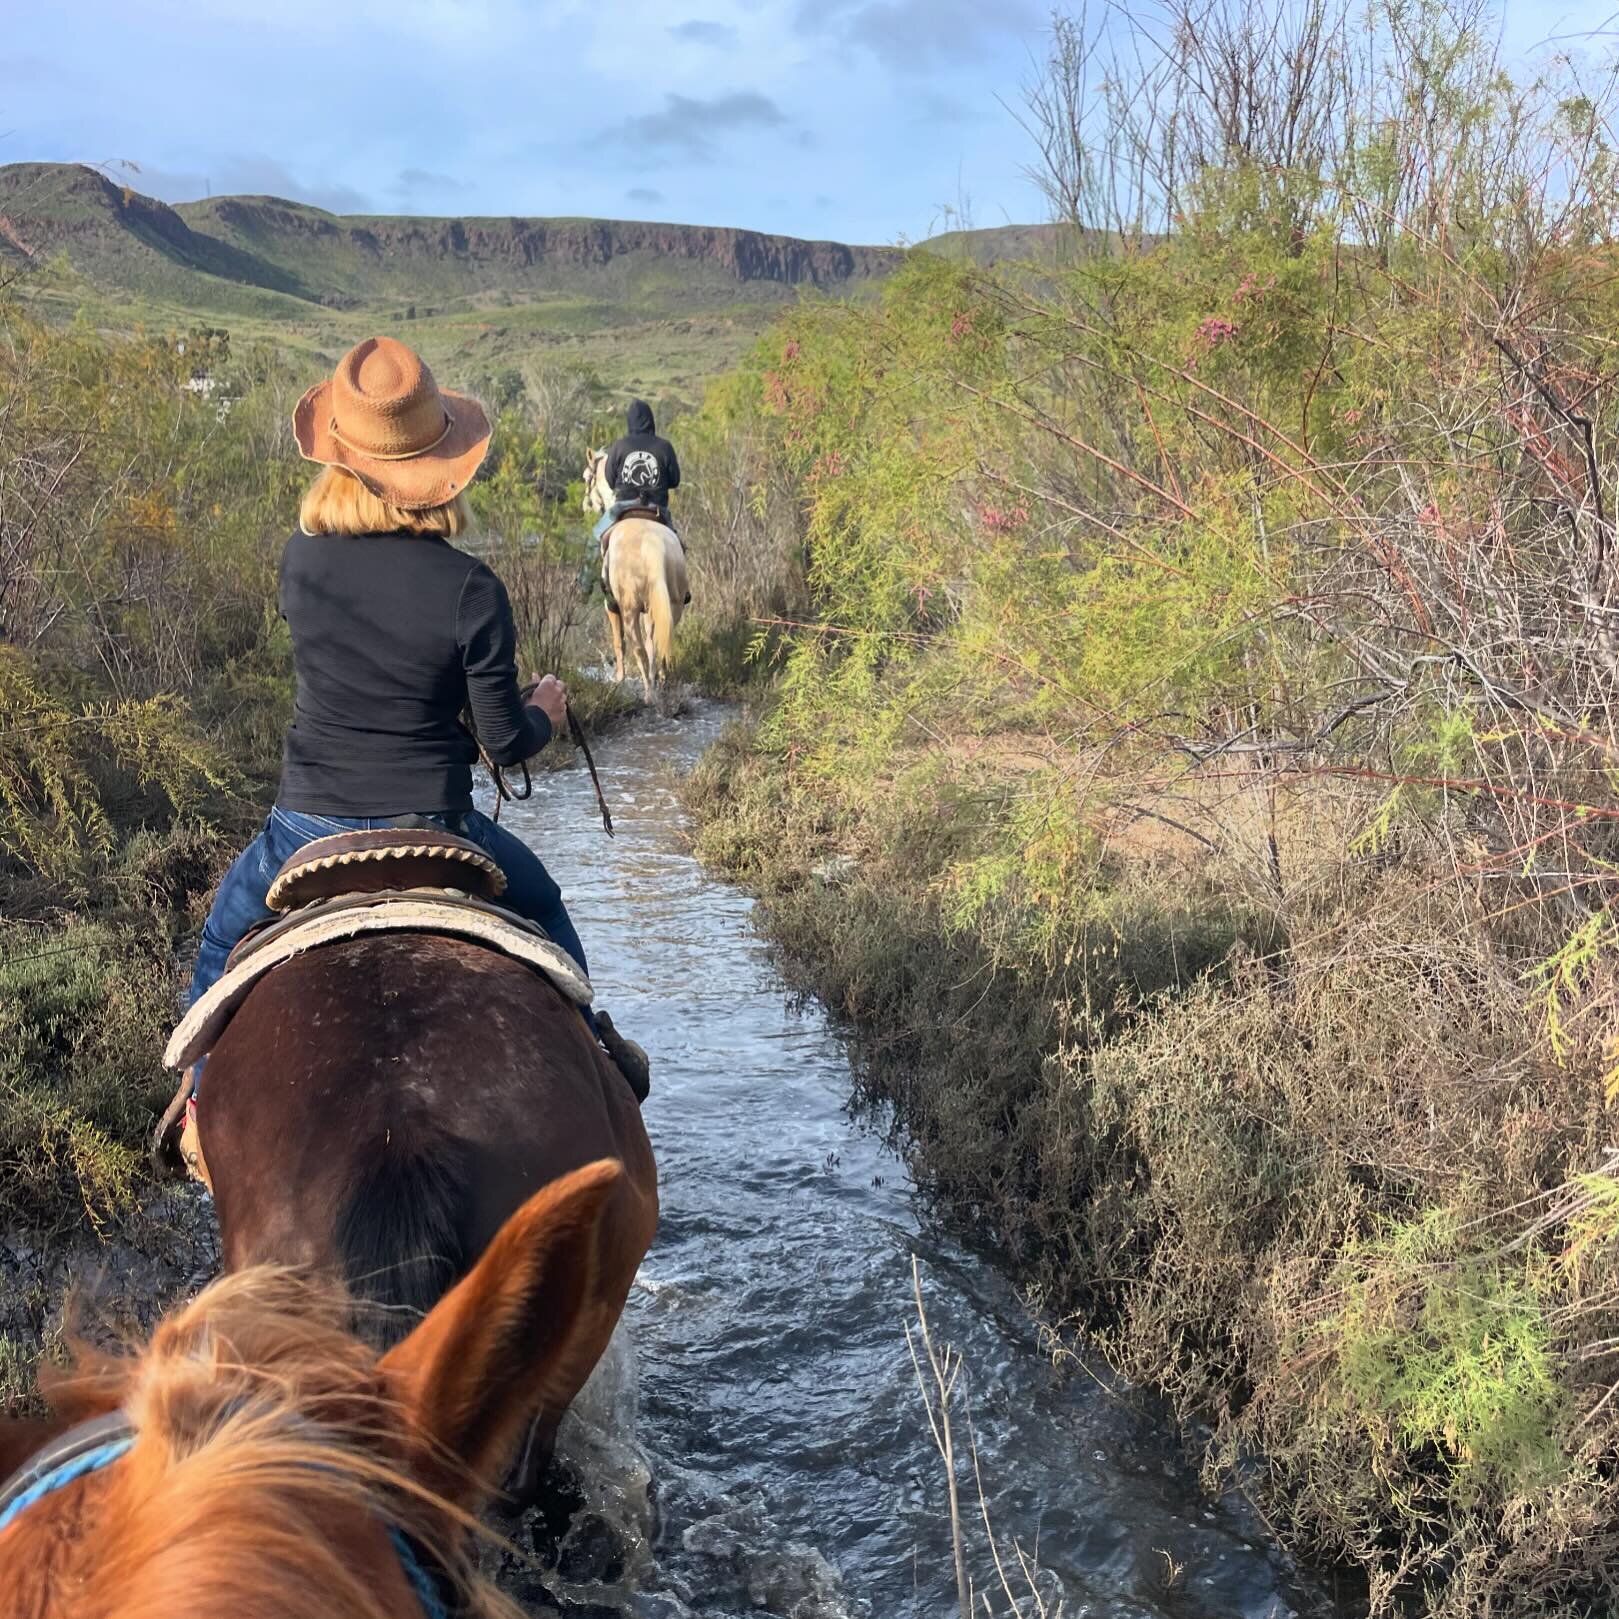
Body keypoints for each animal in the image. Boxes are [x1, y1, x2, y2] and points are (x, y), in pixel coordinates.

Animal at [582, 446, 689, 692]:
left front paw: (619, 678)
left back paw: (649, 691)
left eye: (586, 477)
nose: (585, 506)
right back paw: (660, 681)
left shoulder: (611, 605)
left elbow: (618, 641)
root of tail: (652, 545)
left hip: (629, 608)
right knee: (658, 644)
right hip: (671, 605)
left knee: (639, 649)